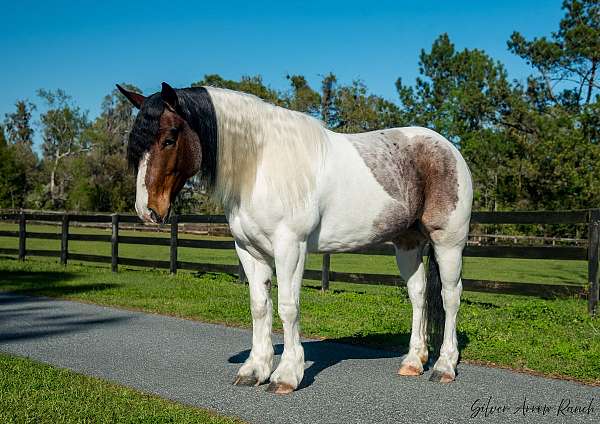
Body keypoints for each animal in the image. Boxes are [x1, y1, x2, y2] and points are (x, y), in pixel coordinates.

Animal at [117, 82, 474, 394]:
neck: (260, 166)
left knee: (450, 297)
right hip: (407, 243)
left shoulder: (290, 246)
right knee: (418, 295)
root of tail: (448, 148)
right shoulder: (250, 251)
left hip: (448, 242)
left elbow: (288, 307)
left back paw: (444, 366)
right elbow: (259, 306)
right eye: (137, 144)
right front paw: (254, 370)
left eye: (169, 138)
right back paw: (414, 361)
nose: (147, 209)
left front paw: (286, 375)